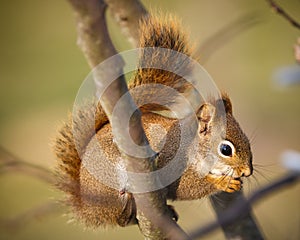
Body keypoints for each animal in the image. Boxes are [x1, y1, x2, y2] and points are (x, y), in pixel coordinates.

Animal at [53, 14, 253, 228]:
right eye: (225, 149)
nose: (247, 171)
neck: (192, 146)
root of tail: (88, 207)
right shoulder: (172, 163)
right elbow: (186, 187)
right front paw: (223, 182)